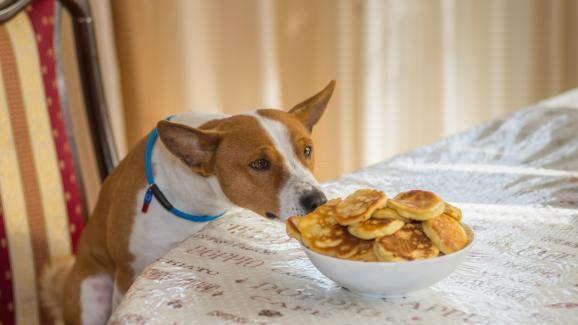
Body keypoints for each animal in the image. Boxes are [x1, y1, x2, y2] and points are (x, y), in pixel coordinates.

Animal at [40, 81, 336, 324]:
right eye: (260, 164)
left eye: (307, 150)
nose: (317, 200)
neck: (199, 201)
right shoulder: (127, 273)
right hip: (91, 293)